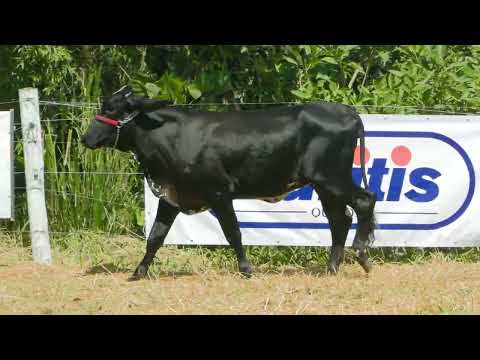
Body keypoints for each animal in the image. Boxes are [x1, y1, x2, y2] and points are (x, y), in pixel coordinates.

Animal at [81, 87, 376, 282]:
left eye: (112, 110)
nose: (86, 138)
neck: (173, 138)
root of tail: (346, 110)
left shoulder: (219, 193)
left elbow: (233, 232)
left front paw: (246, 269)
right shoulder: (171, 196)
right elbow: (155, 237)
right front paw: (138, 273)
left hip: (332, 178)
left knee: (364, 201)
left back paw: (361, 255)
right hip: (325, 185)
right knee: (339, 219)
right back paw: (332, 268)